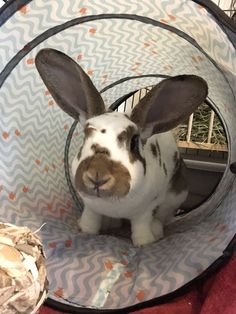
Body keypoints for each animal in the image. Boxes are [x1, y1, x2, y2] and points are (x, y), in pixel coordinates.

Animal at [35, 47, 208, 247]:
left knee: (162, 218)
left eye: (133, 141)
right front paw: (85, 230)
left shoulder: (144, 212)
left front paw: (145, 243)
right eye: (86, 135)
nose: (97, 176)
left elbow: (142, 227)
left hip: (174, 198)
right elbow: (90, 222)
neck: (113, 204)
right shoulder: (91, 208)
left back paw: (156, 230)